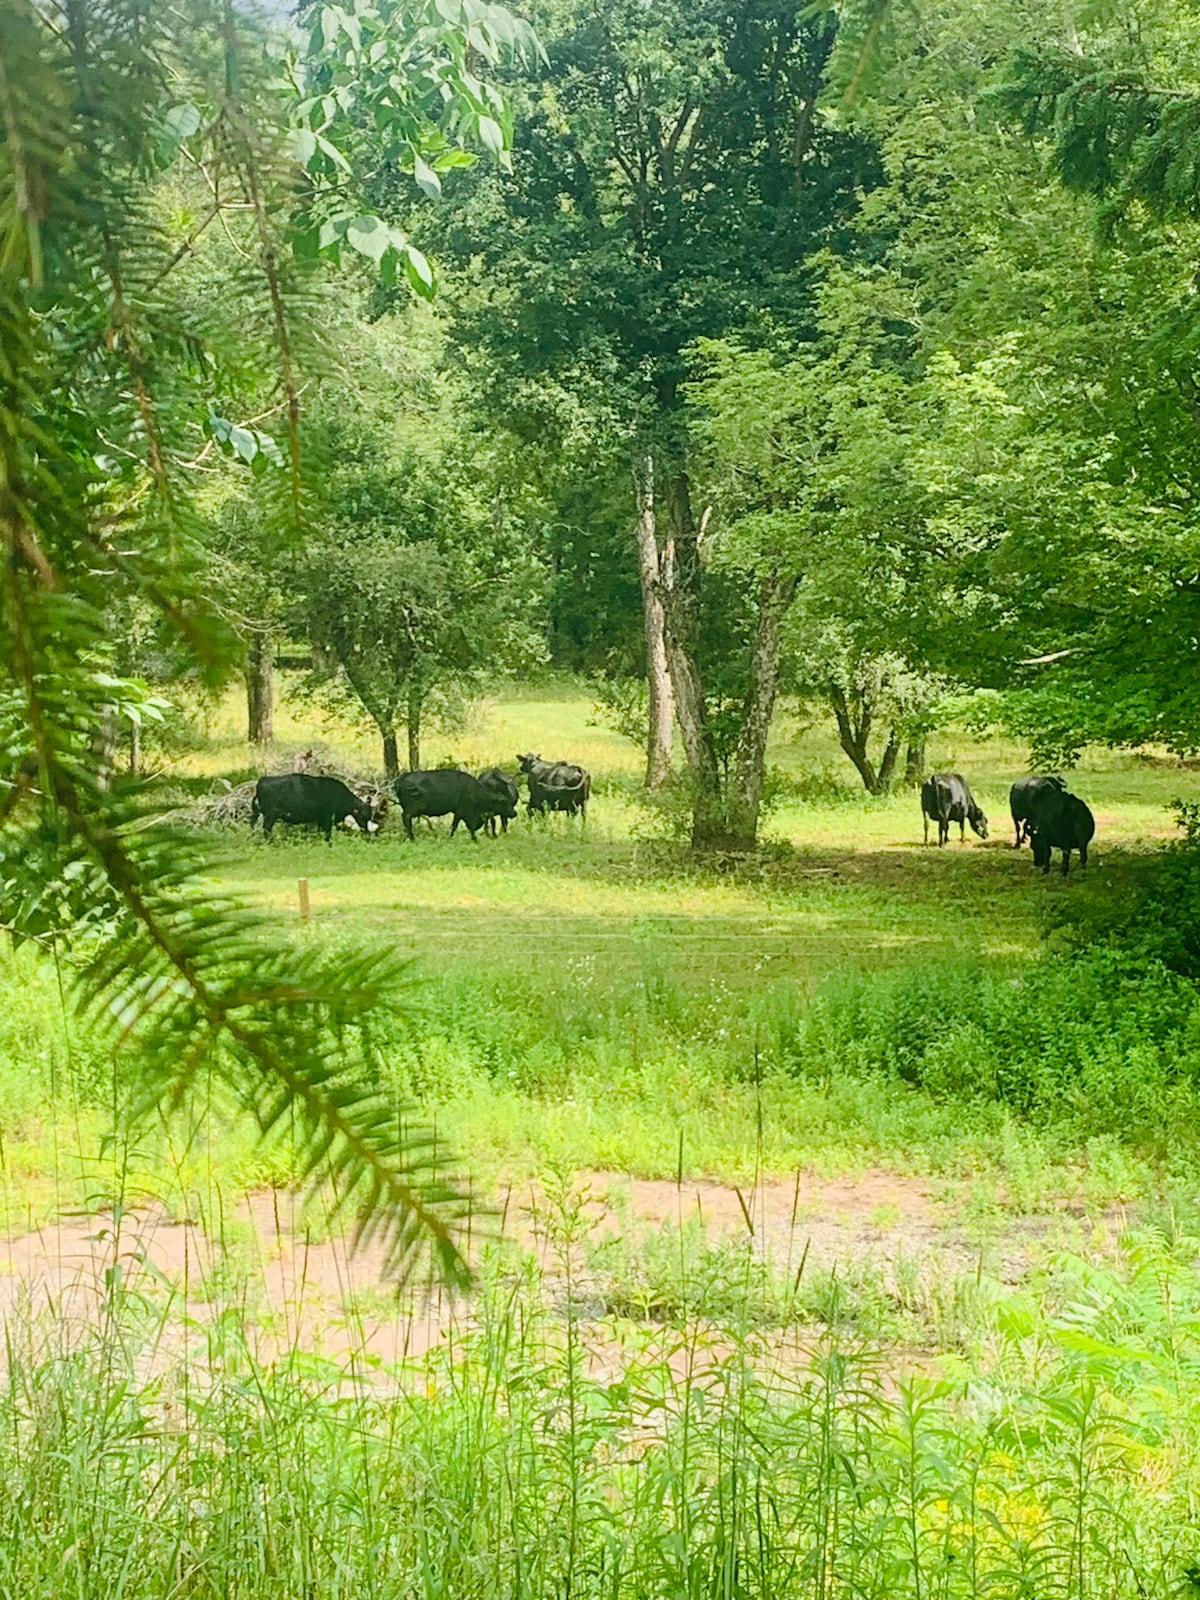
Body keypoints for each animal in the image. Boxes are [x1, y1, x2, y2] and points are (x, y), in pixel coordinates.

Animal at [251, 777, 382, 851]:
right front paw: (329, 844)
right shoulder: (327, 816)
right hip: (270, 815)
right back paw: (271, 844)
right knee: (266, 829)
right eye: (364, 816)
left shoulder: (321, 818)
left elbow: (320, 832)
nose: (366, 832)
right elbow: (327, 833)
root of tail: (262, 780)